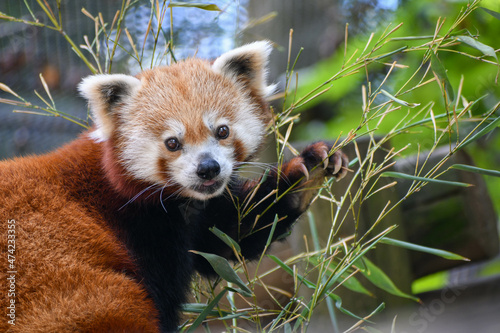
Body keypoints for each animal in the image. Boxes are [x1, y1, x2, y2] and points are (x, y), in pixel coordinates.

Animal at [0, 42, 348, 332]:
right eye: (172, 143)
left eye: (222, 131)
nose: (208, 168)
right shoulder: (141, 229)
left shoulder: (193, 220)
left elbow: (231, 236)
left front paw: (304, 175)